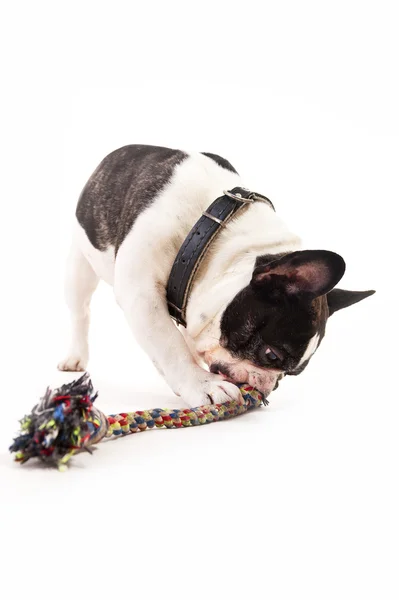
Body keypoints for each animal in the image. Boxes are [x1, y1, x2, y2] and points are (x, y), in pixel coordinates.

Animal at [57, 145, 376, 406]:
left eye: (291, 374)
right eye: (271, 355)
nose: (269, 386)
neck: (212, 231)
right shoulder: (141, 294)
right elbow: (169, 344)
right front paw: (202, 385)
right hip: (79, 265)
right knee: (80, 312)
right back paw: (75, 357)